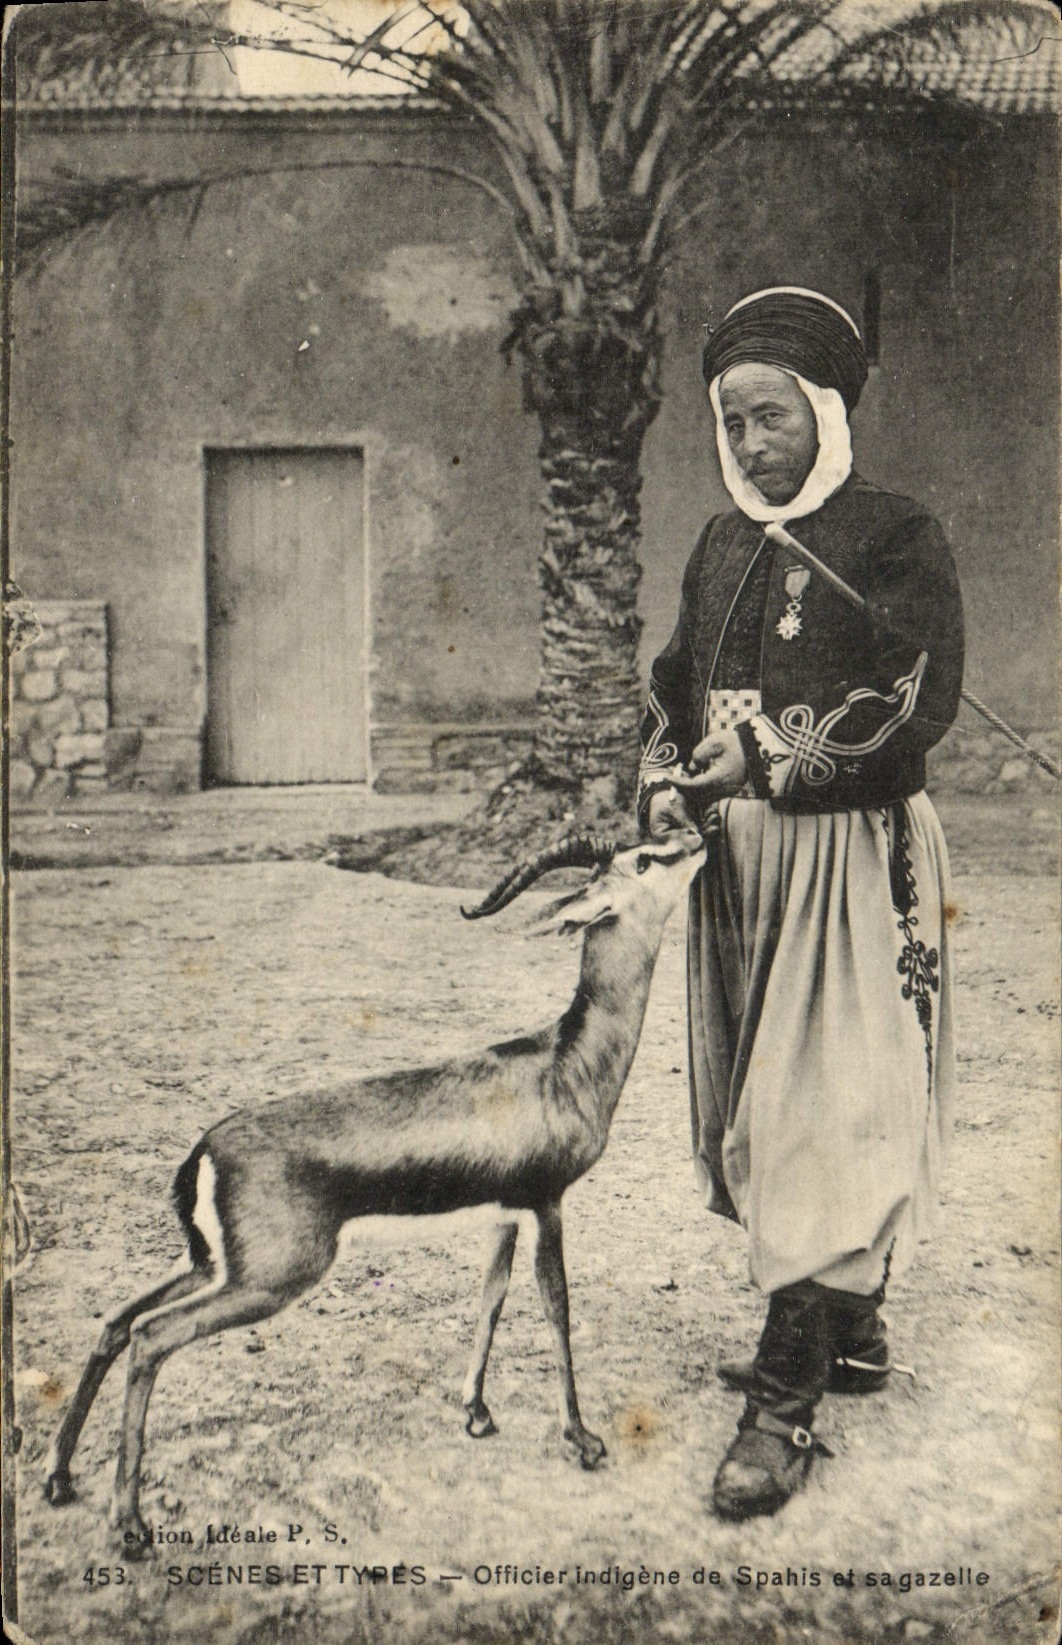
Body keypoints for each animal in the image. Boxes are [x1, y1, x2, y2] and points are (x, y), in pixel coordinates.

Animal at [43, 827, 707, 1547]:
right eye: (643, 859)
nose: (697, 836)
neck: (564, 1064)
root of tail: (202, 1151)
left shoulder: (504, 1212)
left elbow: (491, 1297)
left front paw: (476, 1411)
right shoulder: (546, 1203)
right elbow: (556, 1308)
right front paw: (583, 1440)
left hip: (212, 1264)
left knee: (116, 1320)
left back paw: (59, 1479)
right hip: (270, 1279)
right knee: (149, 1337)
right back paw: (128, 1522)